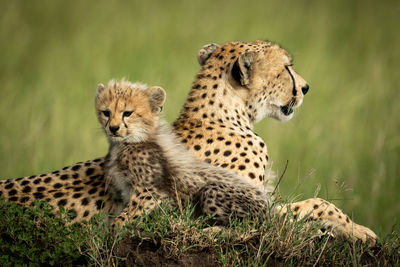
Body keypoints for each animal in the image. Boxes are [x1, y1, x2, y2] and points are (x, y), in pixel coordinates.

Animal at [0, 40, 376, 244]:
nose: (307, 88)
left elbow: (314, 204)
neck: (226, 114)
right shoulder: (245, 207)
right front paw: (359, 231)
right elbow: (318, 204)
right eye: (286, 68)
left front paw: (352, 229)